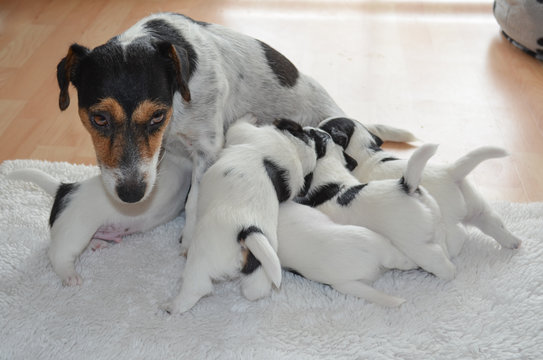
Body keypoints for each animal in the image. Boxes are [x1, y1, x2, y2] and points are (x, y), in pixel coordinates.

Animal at [164, 116, 318, 314]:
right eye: (307, 133)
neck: (295, 152)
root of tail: (247, 231)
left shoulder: (246, 133)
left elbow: (237, 127)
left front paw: (248, 117)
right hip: (260, 266)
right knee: (255, 291)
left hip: (201, 257)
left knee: (197, 287)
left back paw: (172, 306)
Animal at [298, 129, 454, 282]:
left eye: (313, 135)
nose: (305, 128)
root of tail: (405, 186)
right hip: (437, 226)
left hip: (416, 245)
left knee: (436, 258)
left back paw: (447, 275)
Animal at [318, 116, 524, 258]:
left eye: (323, 129)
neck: (365, 151)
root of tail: (451, 172)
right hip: (478, 207)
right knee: (494, 223)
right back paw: (513, 242)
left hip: (447, 219)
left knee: (458, 235)